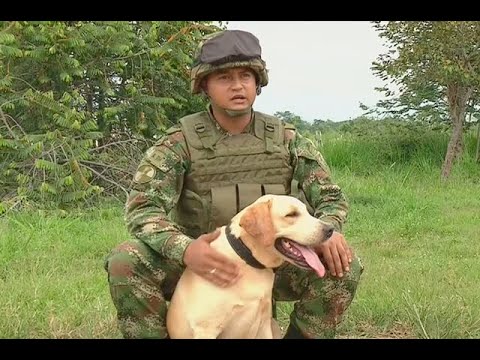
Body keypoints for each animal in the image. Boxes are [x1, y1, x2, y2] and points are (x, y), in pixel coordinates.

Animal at [167, 194, 336, 338]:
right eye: (291, 215)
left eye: (307, 212)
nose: (330, 229)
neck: (248, 261)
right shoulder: (205, 329)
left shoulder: (264, 324)